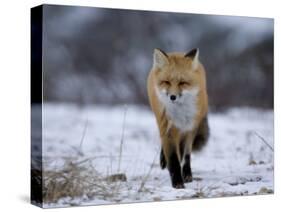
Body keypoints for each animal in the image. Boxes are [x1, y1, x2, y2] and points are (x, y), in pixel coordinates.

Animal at [147, 48, 208, 189]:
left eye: (182, 83)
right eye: (167, 82)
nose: (173, 97)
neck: (179, 113)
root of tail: (177, 52)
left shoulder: (190, 127)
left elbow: (185, 155)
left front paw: (185, 175)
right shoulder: (167, 126)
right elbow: (173, 158)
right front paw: (177, 182)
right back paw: (163, 160)